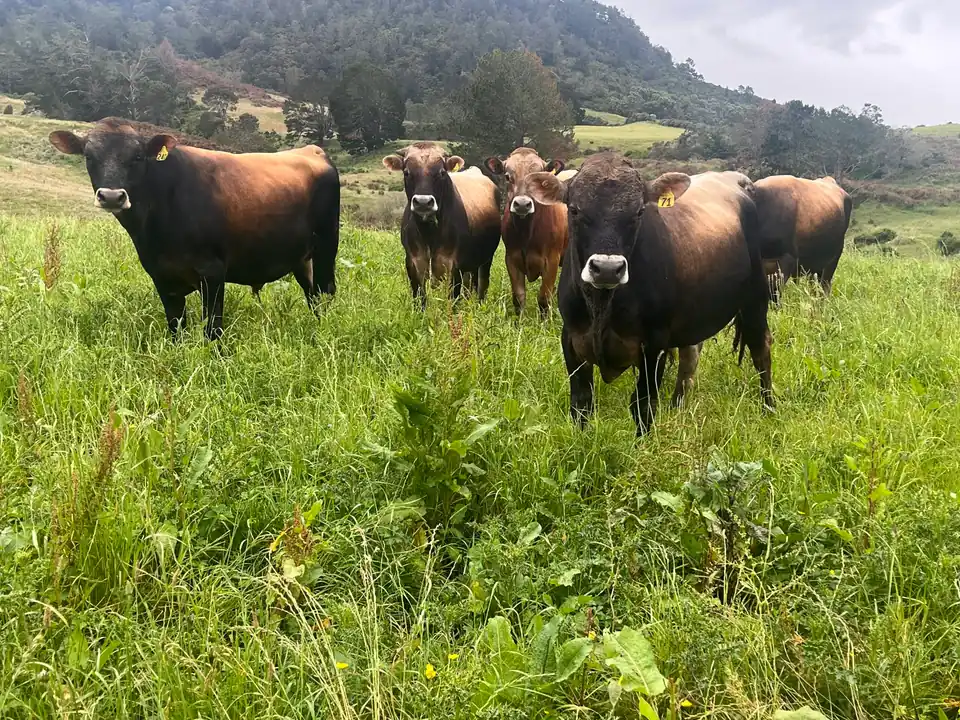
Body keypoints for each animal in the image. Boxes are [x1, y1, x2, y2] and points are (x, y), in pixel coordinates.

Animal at [48, 118, 340, 341]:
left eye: (138, 156)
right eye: (88, 156)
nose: (111, 196)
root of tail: (312, 151)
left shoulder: (213, 273)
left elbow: (212, 329)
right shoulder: (161, 276)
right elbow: (176, 327)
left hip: (327, 246)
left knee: (325, 291)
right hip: (301, 258)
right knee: (312, 294)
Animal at [382, 143, 500, 307]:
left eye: (442, 172)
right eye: (406, 172)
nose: (423, 202)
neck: (429, 233)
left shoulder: (453, 265)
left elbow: (452, 300)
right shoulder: (413, 262)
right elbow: (420, 298)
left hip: (485, 259)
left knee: (481, 285)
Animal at [485, 148, 569, 316]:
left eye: (540, 180)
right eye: (507, 176)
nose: (522, 204)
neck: (527, 233)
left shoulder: (552, 260)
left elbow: (544, 298)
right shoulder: (512, 259)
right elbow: (518, 297)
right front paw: (519, 321)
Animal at [522, 154, 773, 435]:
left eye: (639, 212)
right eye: (574, 210)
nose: (607, 269)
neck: (602, 305)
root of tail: (737, 181)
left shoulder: (654, 344)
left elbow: (643, 404)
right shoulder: (571, 340)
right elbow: (581, 403)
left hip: (755, 300)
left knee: (761, 352)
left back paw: (769, 408)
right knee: (690, 358)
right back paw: (677, 407)